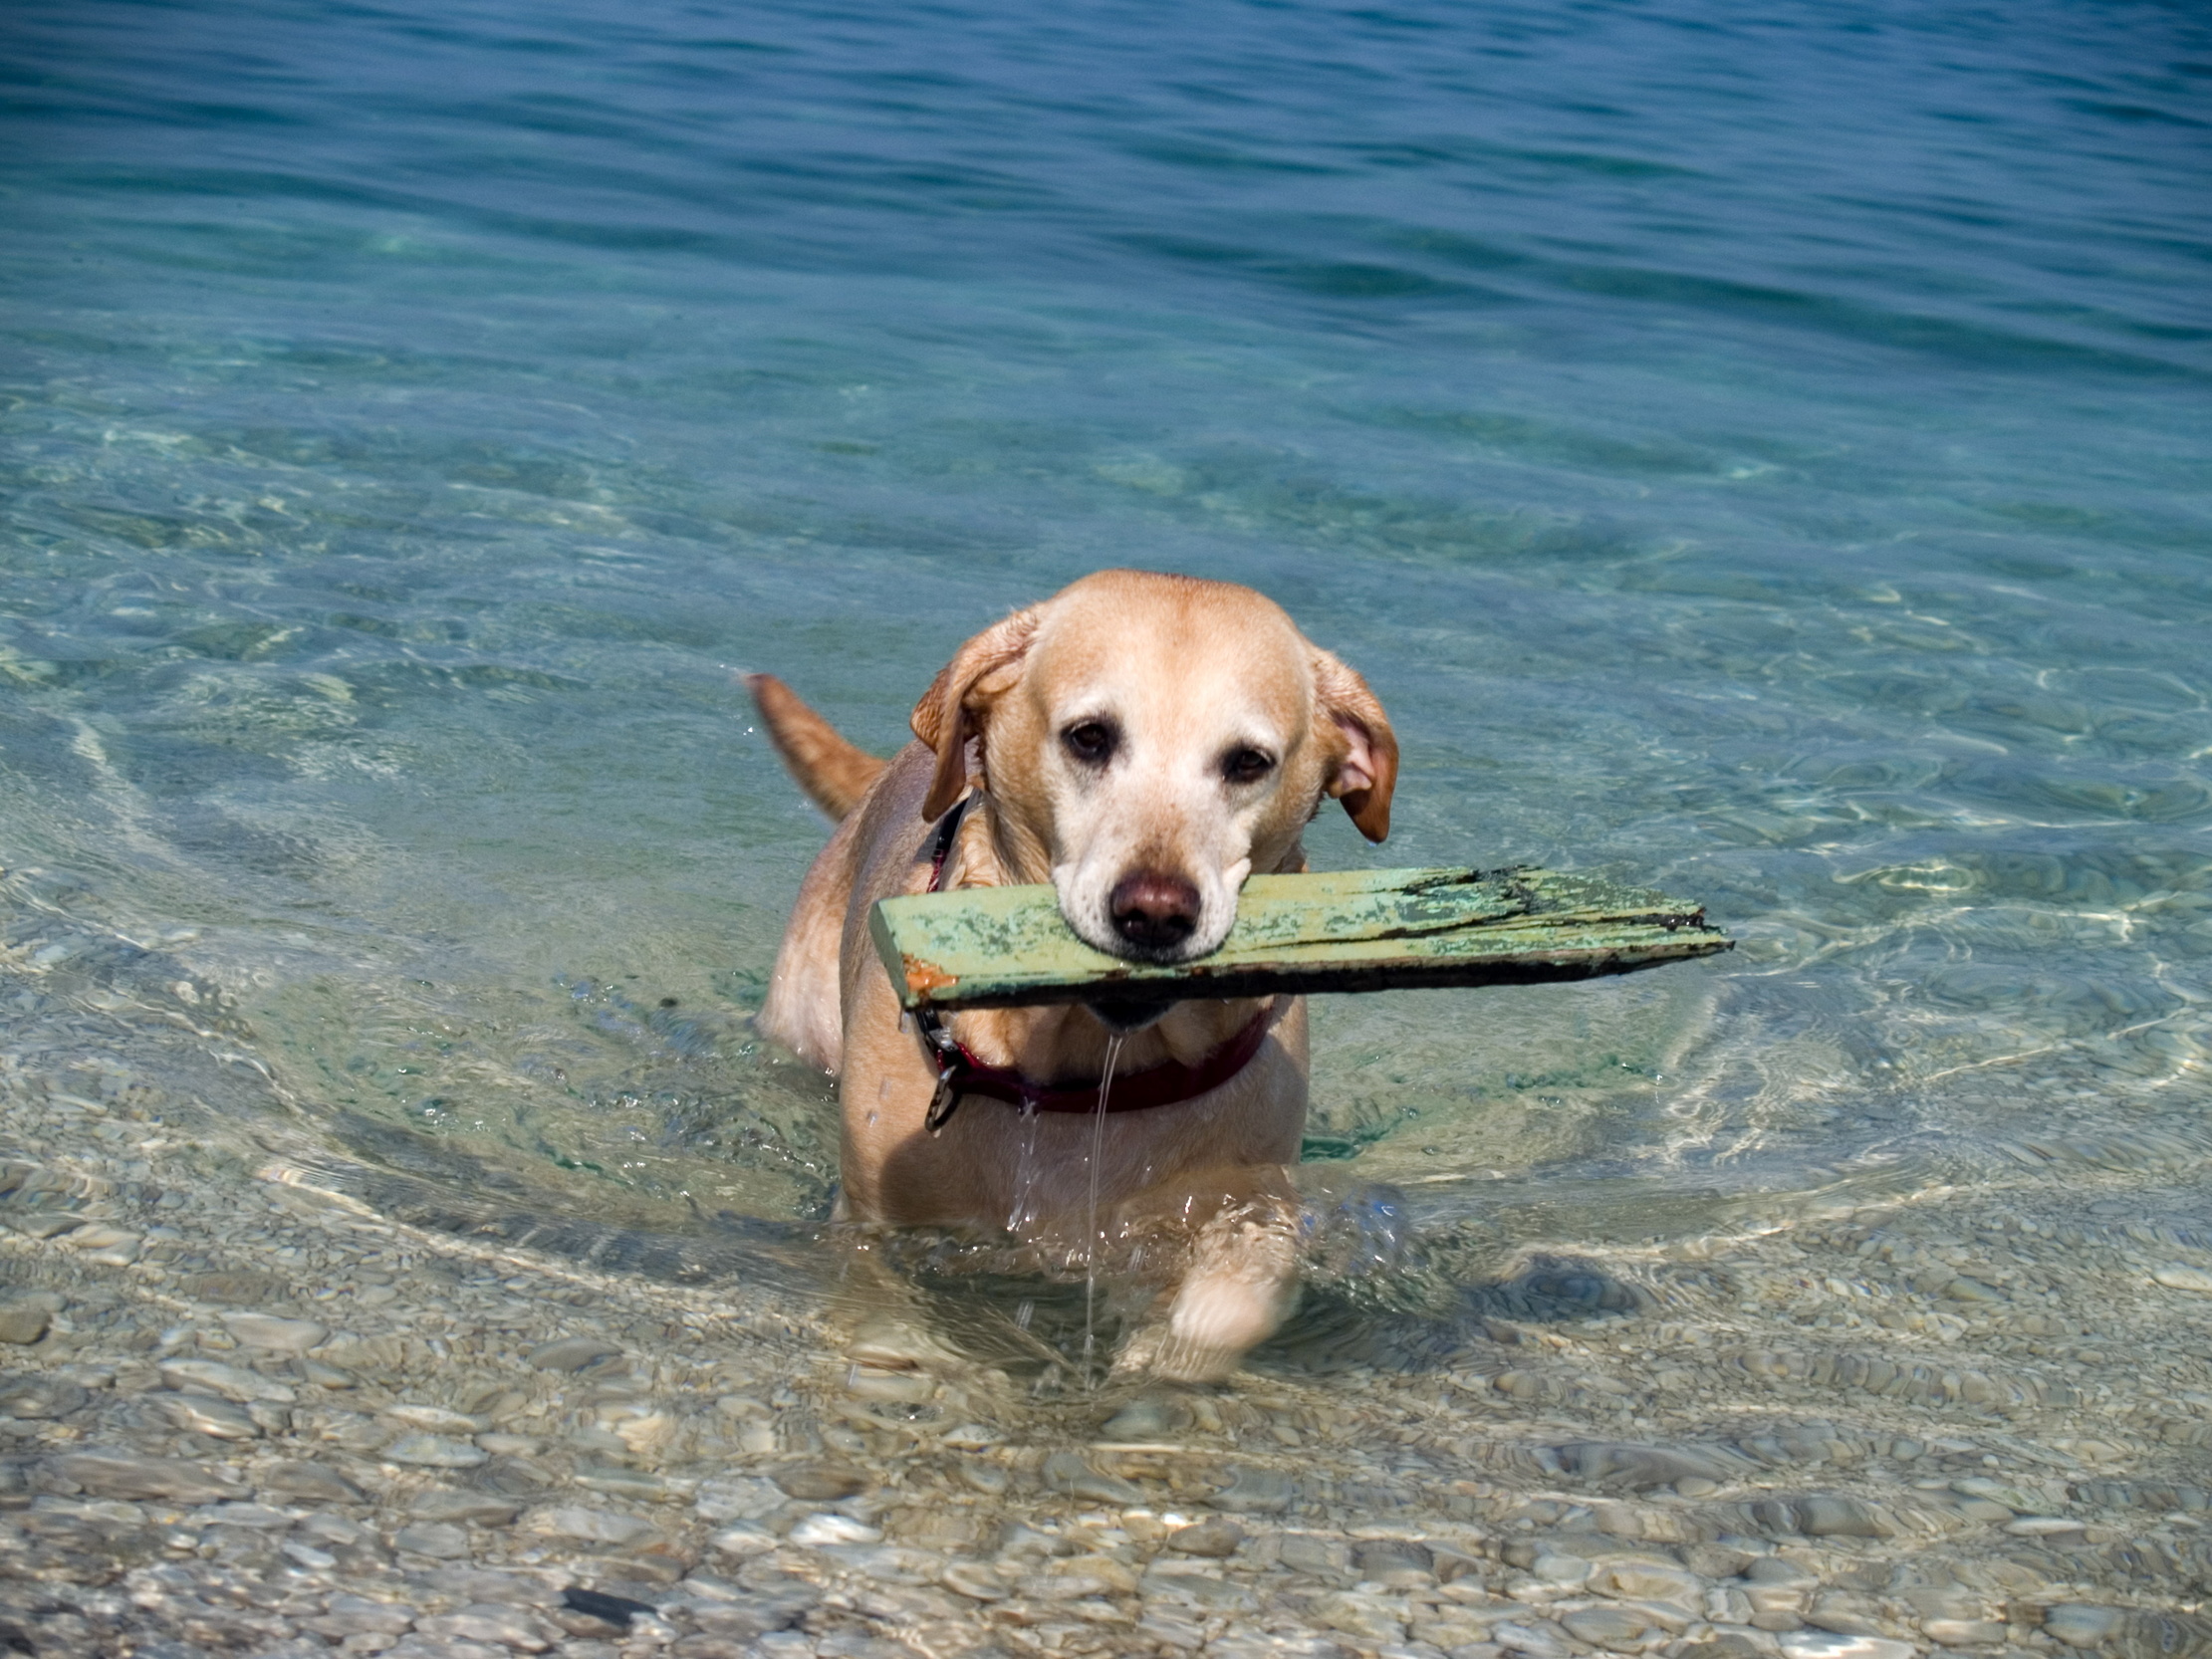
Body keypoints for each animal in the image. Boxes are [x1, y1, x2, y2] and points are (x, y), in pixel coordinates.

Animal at [752, 571, 1388, 1380]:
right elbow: (885, 1316)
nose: (1154, 913)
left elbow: (1231, 1299)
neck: (1082, 1072)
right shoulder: (875, 1226)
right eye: (1090, 737)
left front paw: (1157, 1358)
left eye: (1249, 762)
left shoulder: (1245, 1205)